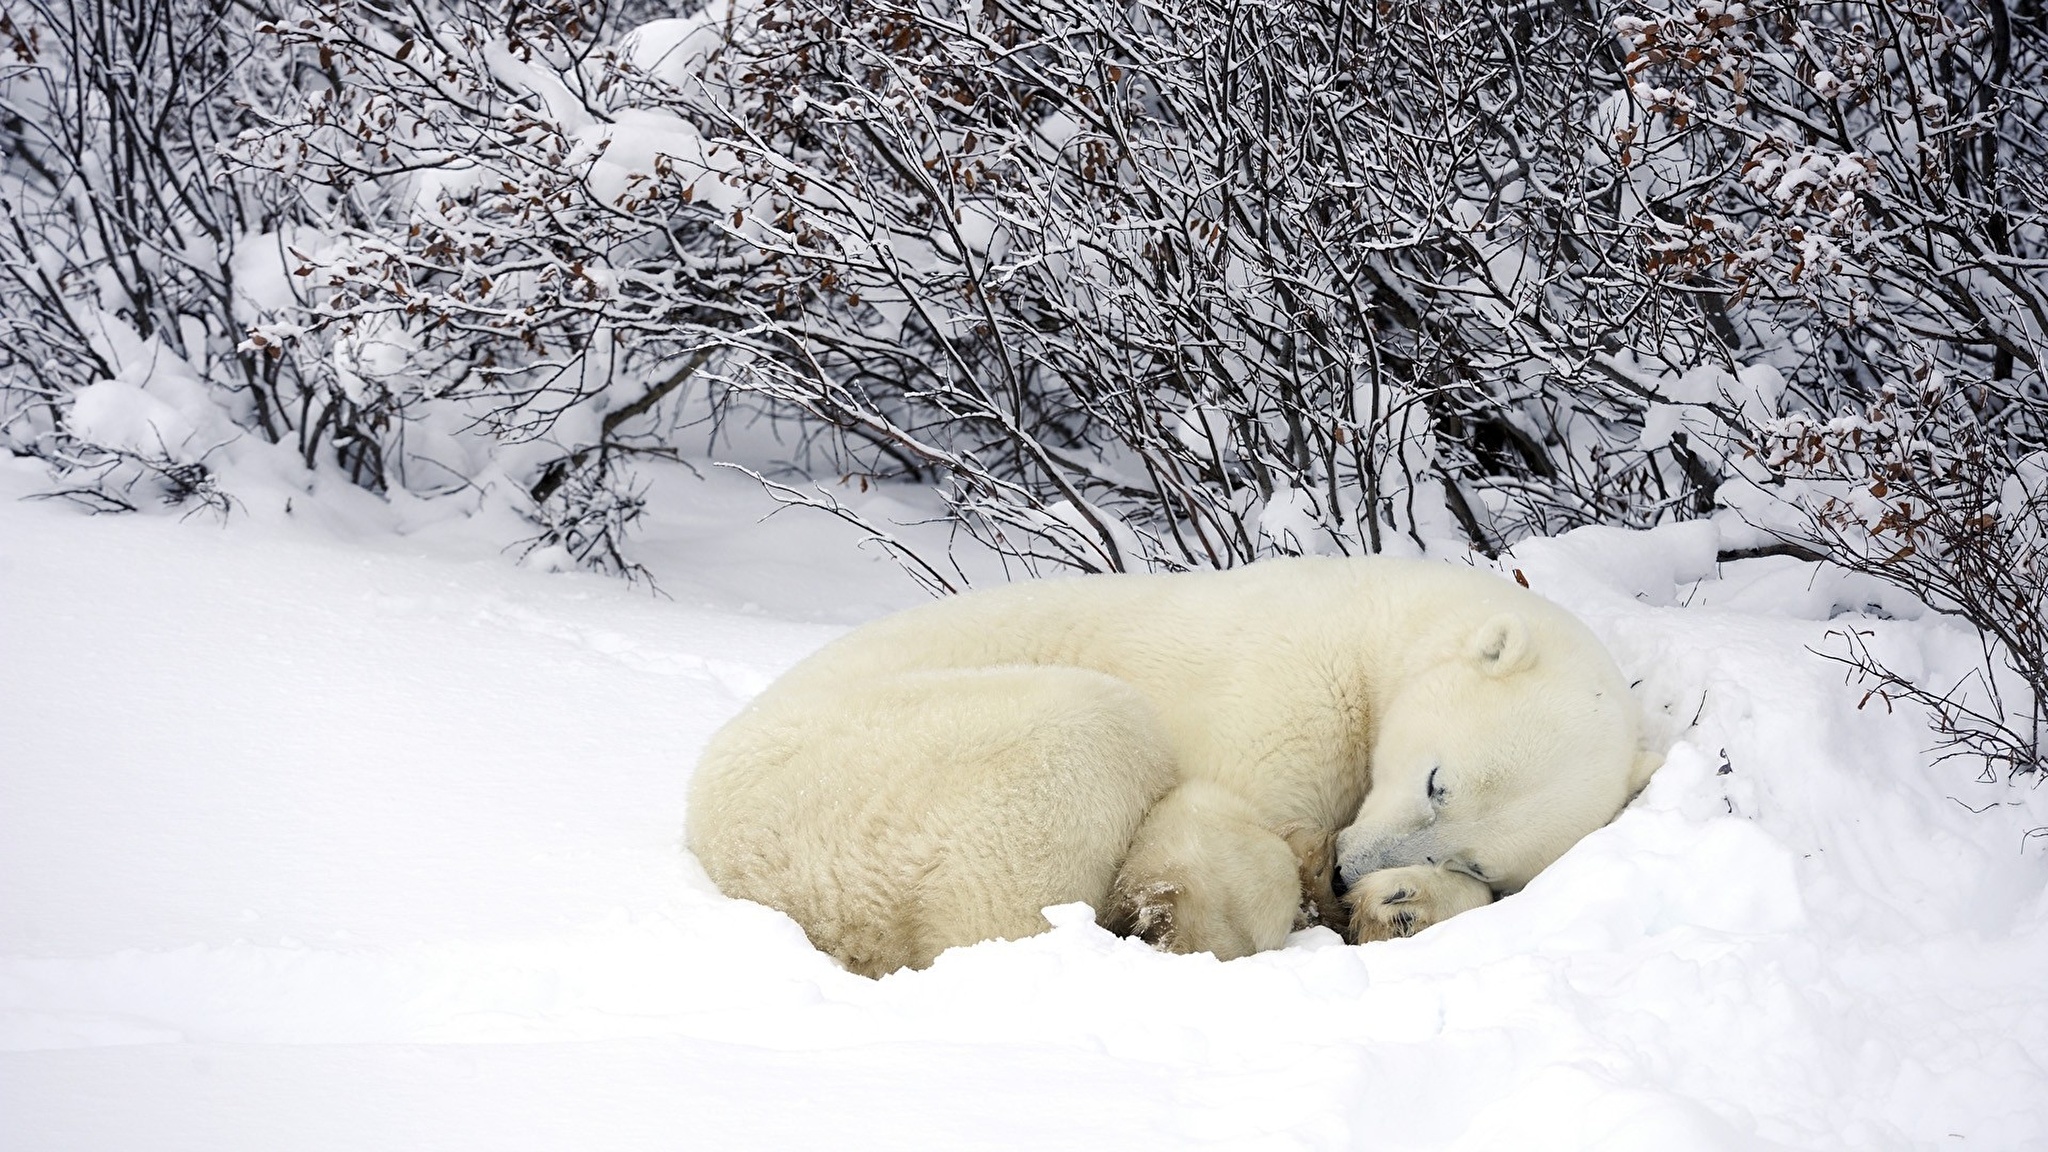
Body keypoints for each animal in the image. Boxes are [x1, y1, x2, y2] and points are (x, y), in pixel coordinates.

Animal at [679, 557, 1654, 967]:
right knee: (1083, 737)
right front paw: (1218, 915)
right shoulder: (1287, 684)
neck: (1376, 623)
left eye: (1477, 859)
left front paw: (1401, 906)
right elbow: (1214, 822)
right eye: (1436, 779)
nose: (1349, 871)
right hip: (859, 777)